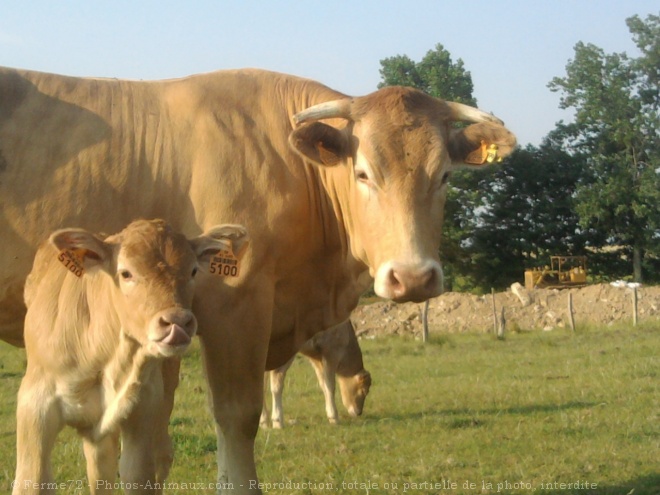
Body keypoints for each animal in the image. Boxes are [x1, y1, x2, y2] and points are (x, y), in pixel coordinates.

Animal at [12, 221, 250, 495]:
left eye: (192, 271)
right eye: (126, 273)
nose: (178, 322)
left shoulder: (143, 411)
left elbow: (137, 476)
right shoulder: (35, 407)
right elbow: (33, 481)